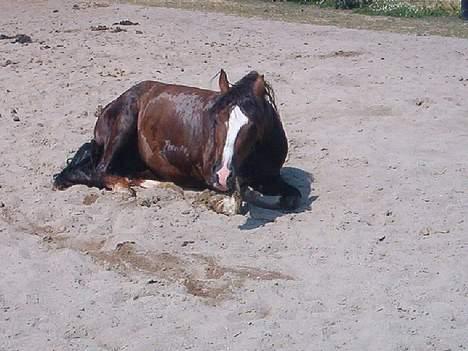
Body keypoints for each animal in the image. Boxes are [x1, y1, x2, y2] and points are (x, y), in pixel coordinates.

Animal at [53, 70, 302, 213]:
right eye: (216, 119)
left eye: (252, 125)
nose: (222, 175)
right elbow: (238, 198)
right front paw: (216, 201)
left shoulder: (272, 177)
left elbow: (291, 198)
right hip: (124, 124)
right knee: (101, 170)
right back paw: (125, 189)